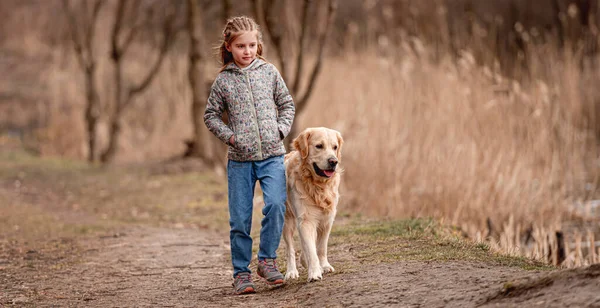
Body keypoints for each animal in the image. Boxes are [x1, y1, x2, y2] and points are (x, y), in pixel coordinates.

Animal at [282, 125, 342, 282]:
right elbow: (311, 249)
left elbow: (321, 248)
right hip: (287, 220)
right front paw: (314, 272)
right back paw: (291, 271)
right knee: (290, 249)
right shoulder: (306, 220)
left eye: (335, 147)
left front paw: (324, 266)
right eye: (319, 146)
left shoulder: (327, 219)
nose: (333, 161)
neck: (318, 186)